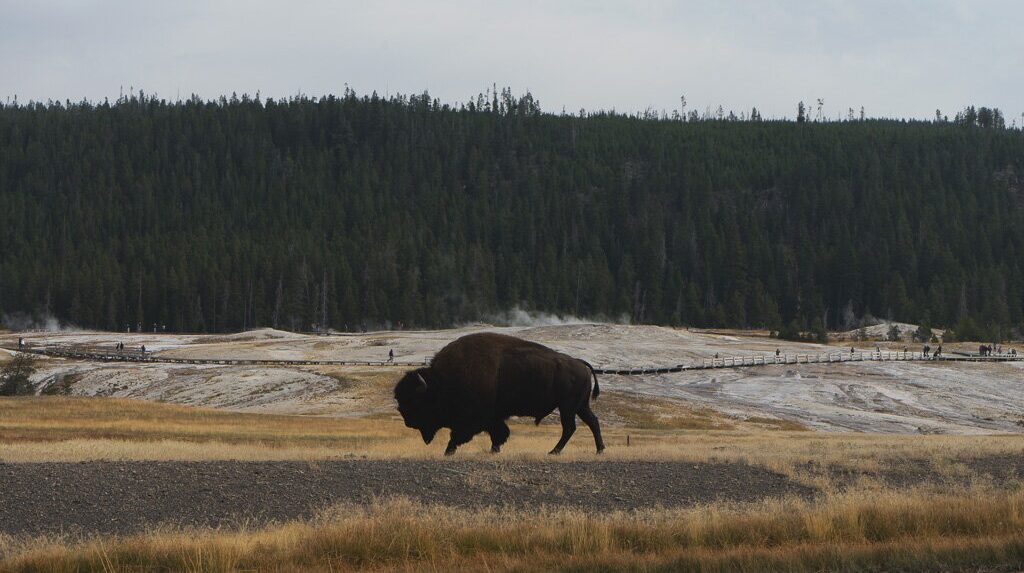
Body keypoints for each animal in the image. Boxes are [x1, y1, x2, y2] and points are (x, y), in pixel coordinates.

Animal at [394, 332, 604, 455]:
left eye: (416, 402)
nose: (408, 422)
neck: (442, 383)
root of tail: (579, 363)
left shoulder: (475, 420)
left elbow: (460, 436)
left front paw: (448, 452)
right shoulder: (493, 418)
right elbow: (499, 433)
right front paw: (494, 450)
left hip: (567, 406)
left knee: (569, 427)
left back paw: (554, 451)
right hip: (580, 406)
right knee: (592, 422)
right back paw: (599, 450)